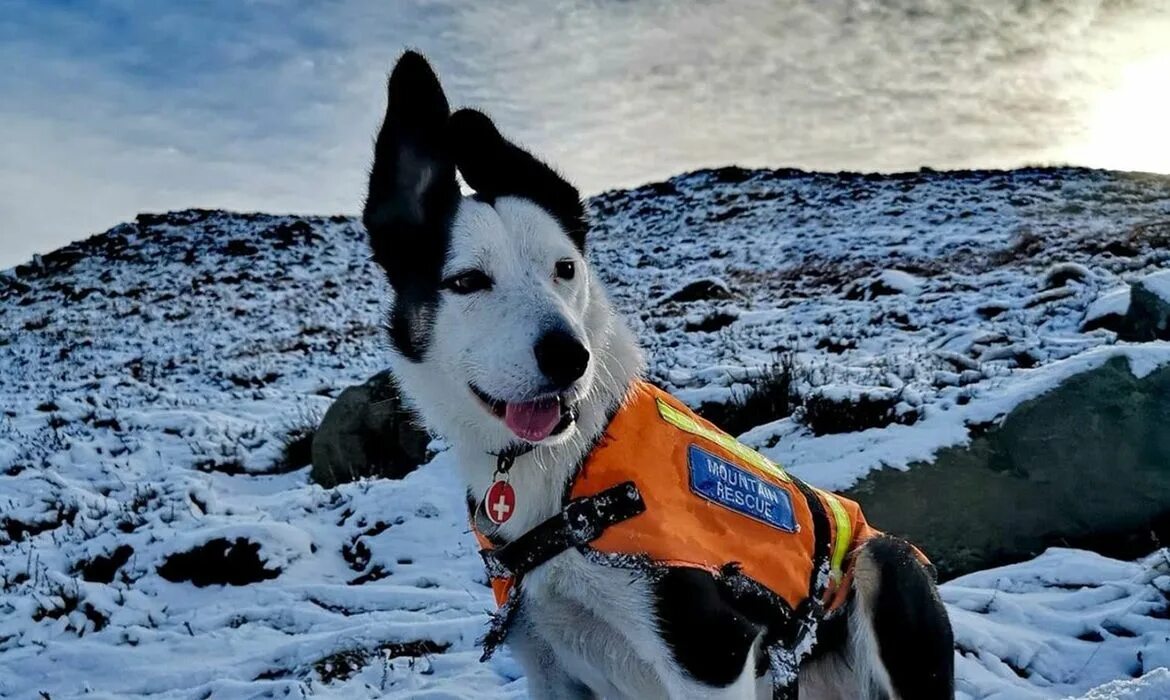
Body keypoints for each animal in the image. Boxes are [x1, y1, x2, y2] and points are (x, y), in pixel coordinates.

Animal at [360, 50, 954, 700]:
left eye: (565, 268)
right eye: (467, 281)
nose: (570, 358)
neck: (570, 472)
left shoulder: (710, 650)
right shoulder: (547, 661)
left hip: (884, 566)